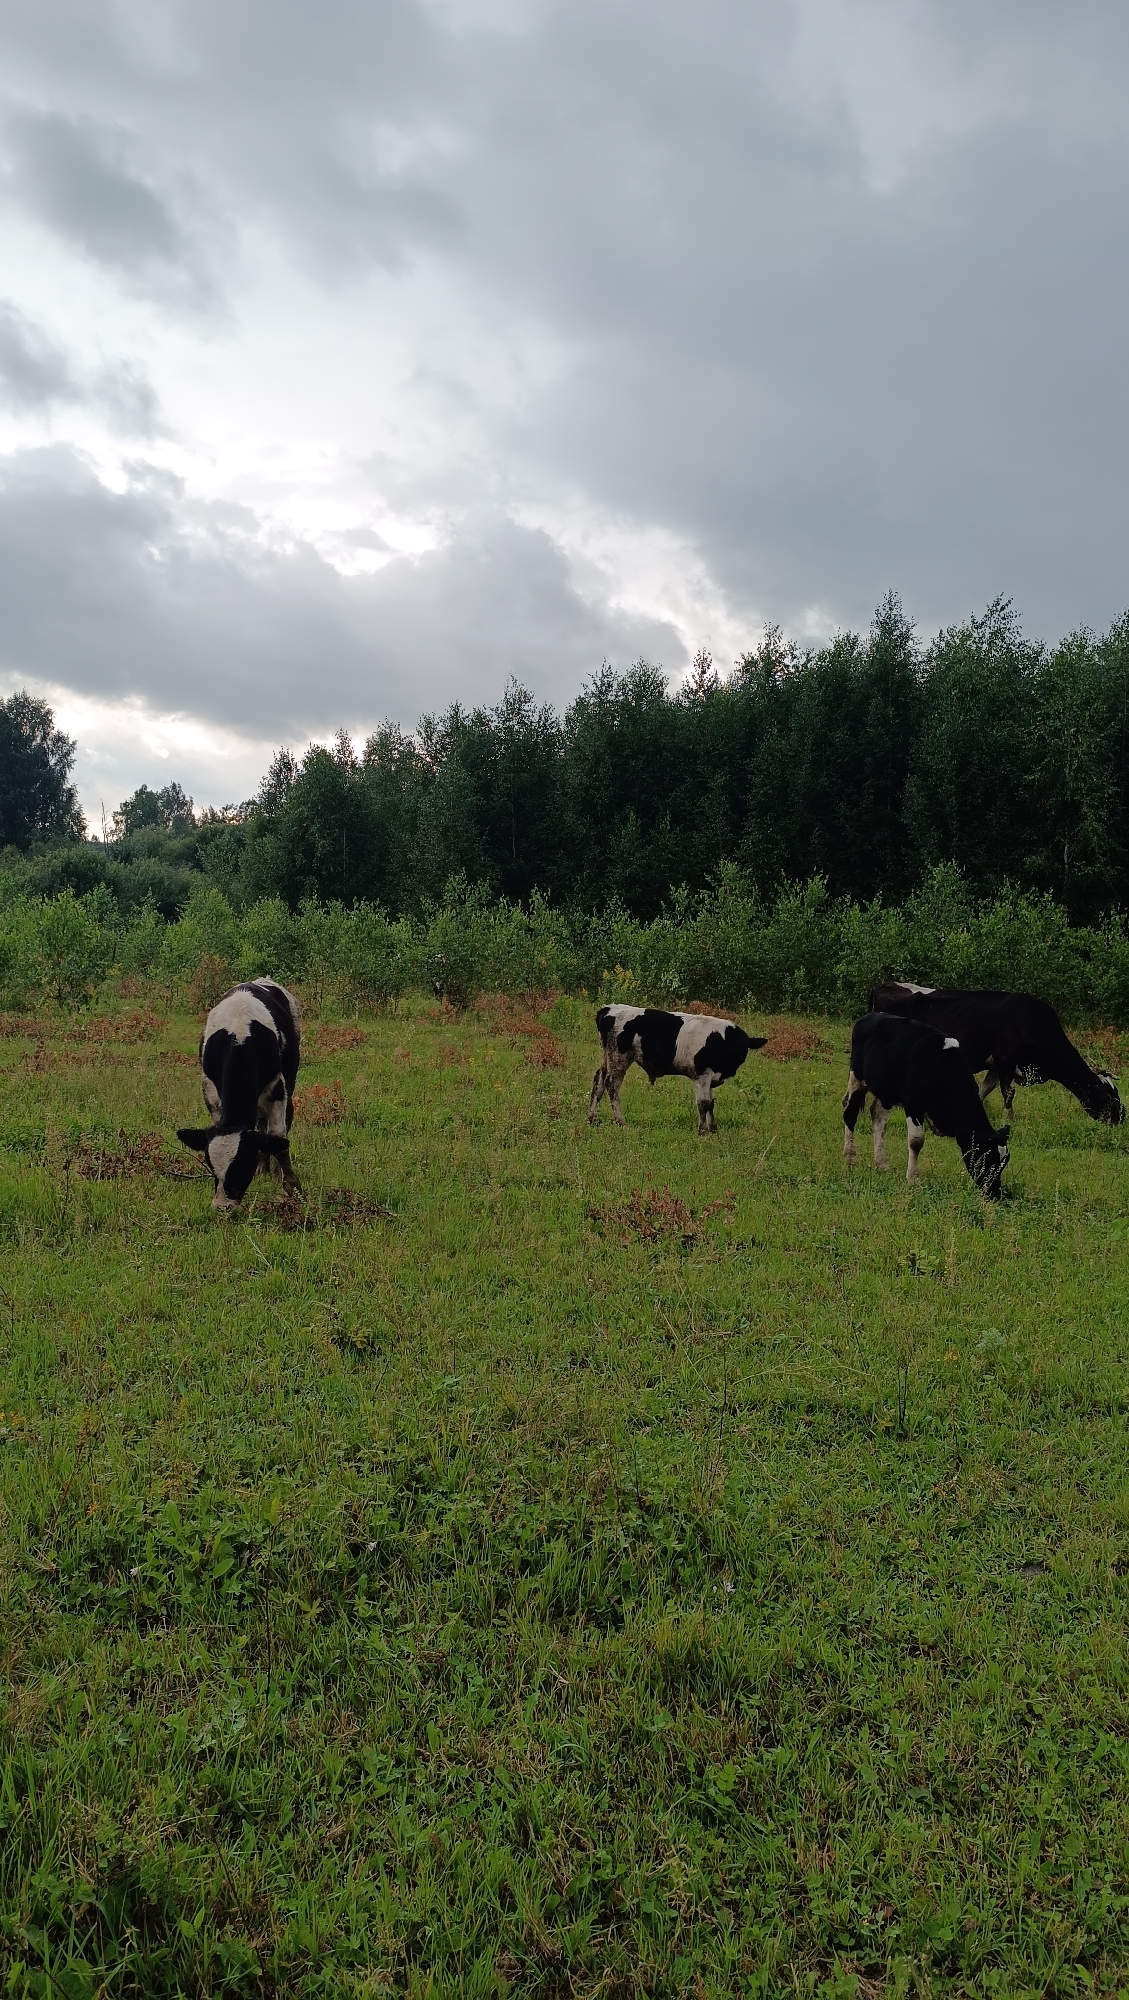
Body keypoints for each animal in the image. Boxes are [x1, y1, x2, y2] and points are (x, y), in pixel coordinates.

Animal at [176, 979, 302, 1210]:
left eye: (243, 1166)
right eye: (211, 1165)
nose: (222, 1205)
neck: (239, 1035)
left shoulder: (277, 1087)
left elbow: (279, 1137)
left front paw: (291, 1185)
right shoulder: (210, 1091)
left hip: (290, 1076)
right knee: (261, 1120)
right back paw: (264, 1167)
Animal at [589, 1005, 767, 1134]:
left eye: (743, 1047)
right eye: (737, 1046)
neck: (721, 1040)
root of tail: (608, 1008)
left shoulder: (710, 1078)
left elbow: (711, 1103)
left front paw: (713, 1128)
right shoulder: (702, 1075)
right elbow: (703, 1103)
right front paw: (702, 1131)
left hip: (606, 1056)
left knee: (599, 1080)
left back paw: (592, 1118)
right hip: (619, 1058)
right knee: (611, 1085)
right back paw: (621, 1122)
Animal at [843, 1011, 1011, 1196]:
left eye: (1005, 1162)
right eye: (985, 1158)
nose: (994, 1192)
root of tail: (871, 1015)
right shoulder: (913, 1104)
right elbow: (916, 1141)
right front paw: (913, 1179)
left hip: (886, 1090)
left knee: (878, 1117)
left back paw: (881, 1163)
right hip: (857, 1076)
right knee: (850, 1113)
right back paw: (850, 1157)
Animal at [869, 982, 1124, 1125]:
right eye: (1108, 1096)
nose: (1122, 1117)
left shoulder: (994, 1066)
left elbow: (984, 1090)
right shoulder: (1006, 1060)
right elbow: (1008, 1093)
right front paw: (1010, 1119)